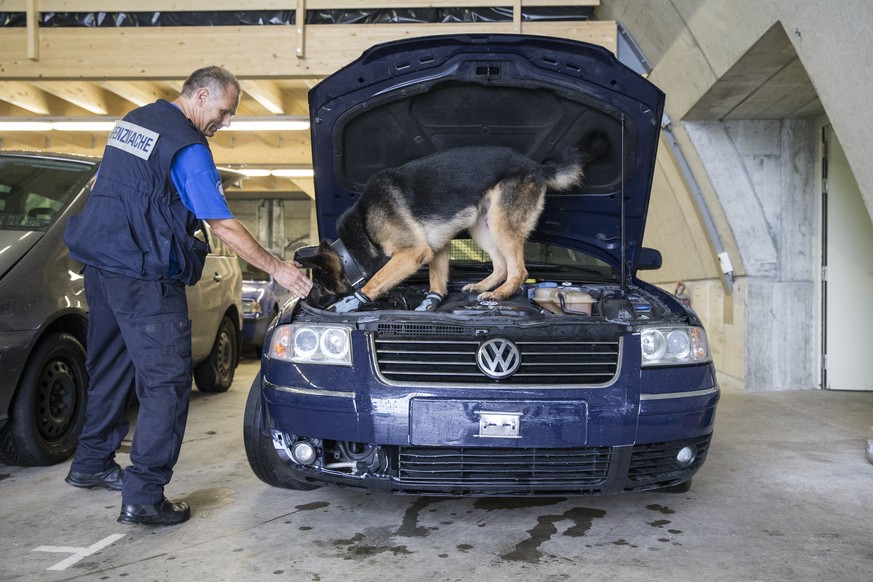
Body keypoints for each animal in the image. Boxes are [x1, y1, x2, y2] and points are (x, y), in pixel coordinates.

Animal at [296, 133, 604, 314]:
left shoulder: (411, 254)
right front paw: (432, 300)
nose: (305, 304)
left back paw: (499, 295)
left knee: (518, 270)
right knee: (502, 266)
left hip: (501, 224)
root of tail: (535, 166)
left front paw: (352, 302)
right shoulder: (436, 247)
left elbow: (376, 281)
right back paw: (483, 286)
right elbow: (437, 277)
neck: (361, 232)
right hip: (481, 225)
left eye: (320, 286)